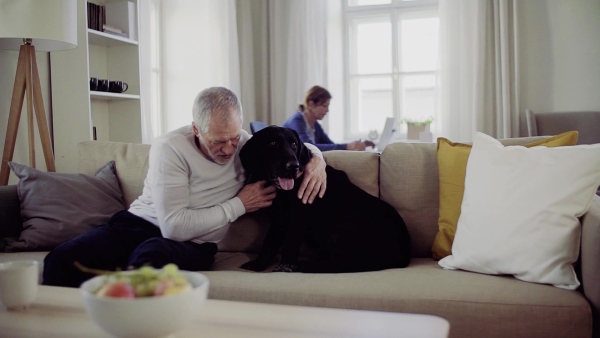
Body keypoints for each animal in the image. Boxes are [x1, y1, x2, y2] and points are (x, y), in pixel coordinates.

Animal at [239, 125, 412, 274]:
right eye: (273, 143)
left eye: (294, 145)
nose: (294, 166)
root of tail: (404, 252)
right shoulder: (279, 219)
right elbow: (269, 242)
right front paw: (259, 264)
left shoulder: (297, 217)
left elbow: (290, 242)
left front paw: (286, 264)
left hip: (340, 225)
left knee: (342, 262)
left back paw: (304, 265)